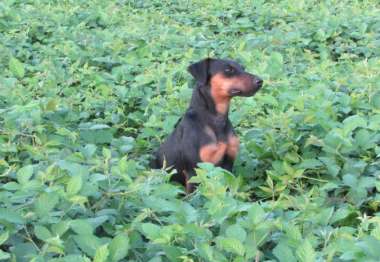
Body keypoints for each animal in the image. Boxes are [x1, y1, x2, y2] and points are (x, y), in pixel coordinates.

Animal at [150, 57, 262, 192]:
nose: (260, 81)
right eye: (228, 70)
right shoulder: (195, 171)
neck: (216, 119)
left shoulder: (228, 165)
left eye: (243, 68)